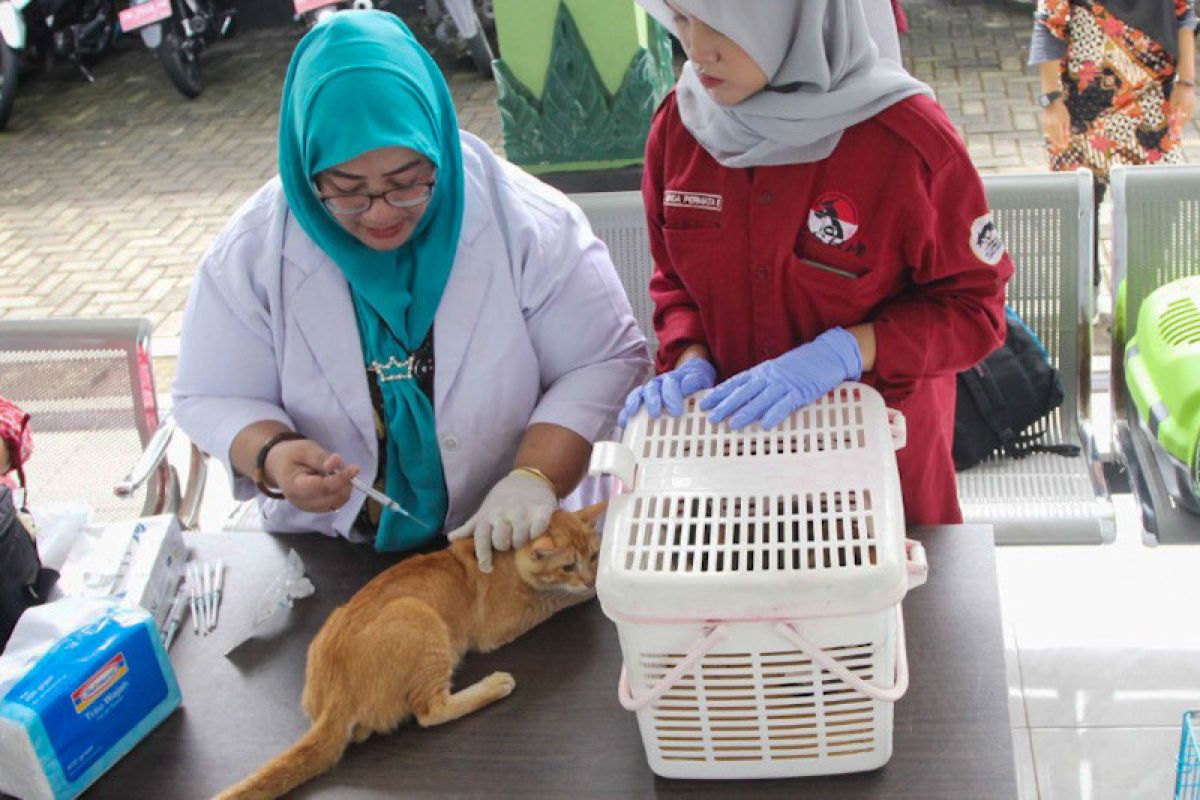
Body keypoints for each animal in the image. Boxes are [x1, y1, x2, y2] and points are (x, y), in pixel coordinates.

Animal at [216, 503, 604, 796]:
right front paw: (593, 591)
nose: (588, 577)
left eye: (594, 555)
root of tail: (335, 697)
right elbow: (554, 600)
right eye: (568, 566)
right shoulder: (505, 623)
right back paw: (494, 685)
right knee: (431, 712)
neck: (503, 557)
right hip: (421, 619)